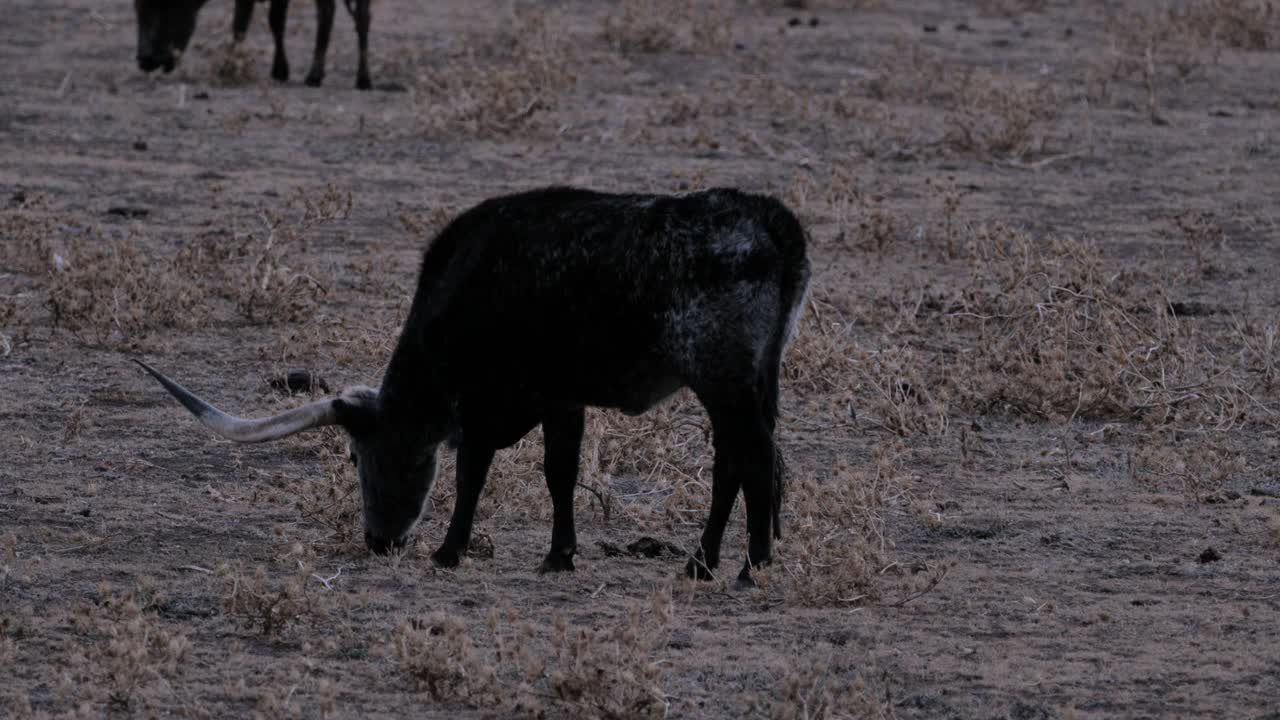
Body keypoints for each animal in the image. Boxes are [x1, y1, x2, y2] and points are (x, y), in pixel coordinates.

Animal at [136, 0, 373, 89]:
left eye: (161, 6)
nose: (144, 60)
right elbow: (275, 20)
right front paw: (280, 71)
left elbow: (242, 22)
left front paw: (228, 67)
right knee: (362, 17)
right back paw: (363, 79)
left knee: (328, 13)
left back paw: (314, 76)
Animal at [137, 185, 808, 584]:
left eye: (357, 455)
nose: (378, 541)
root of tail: (773, 222)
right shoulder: (562, 399)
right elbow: (559, 474)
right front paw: (558, 555)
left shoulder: (481, 406)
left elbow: (471, 475)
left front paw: (448, 549)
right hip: (749, 386)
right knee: (740, 464)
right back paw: (707, 563)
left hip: (724, 384)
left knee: (750, 463)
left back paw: (746, 567)